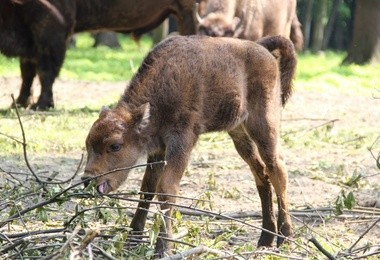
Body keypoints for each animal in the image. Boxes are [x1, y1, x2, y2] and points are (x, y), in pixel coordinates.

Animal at [83, 34, 296, 256]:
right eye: (88, 144)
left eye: (115, 146)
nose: (87, 179)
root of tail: (262, 48)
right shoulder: (158, 150)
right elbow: (147, 189)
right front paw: (132, 241)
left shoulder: (181, 142)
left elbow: (166, 188)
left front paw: (163, 248)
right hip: (239, 134)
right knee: (261, 174)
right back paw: (265, 239)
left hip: (264, 127)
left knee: (277, 171)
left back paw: (286, 238)